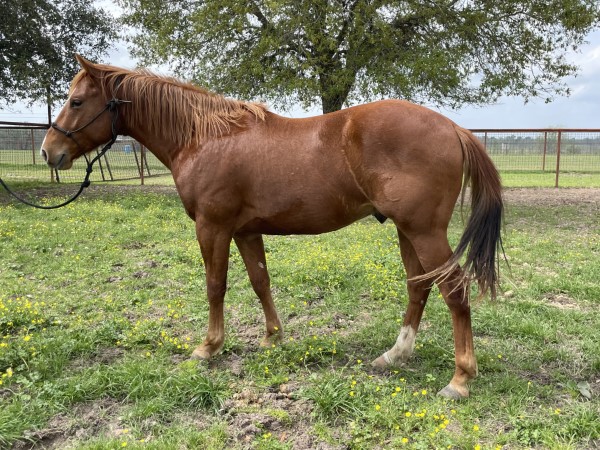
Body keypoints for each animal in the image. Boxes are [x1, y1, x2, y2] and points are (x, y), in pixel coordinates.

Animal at [39, 55, 504, 398]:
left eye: (76, 101)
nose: (49, 152)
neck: (204, 137)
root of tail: (454, 128)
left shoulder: (212, 227)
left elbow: (216, 285)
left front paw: (208, 347)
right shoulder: (245, 231)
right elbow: (260, 281)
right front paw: (272, 339)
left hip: (424, 231)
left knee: (454, 290)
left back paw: (460, 379)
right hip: (406, 230)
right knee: (418, 287)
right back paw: (394, 356)